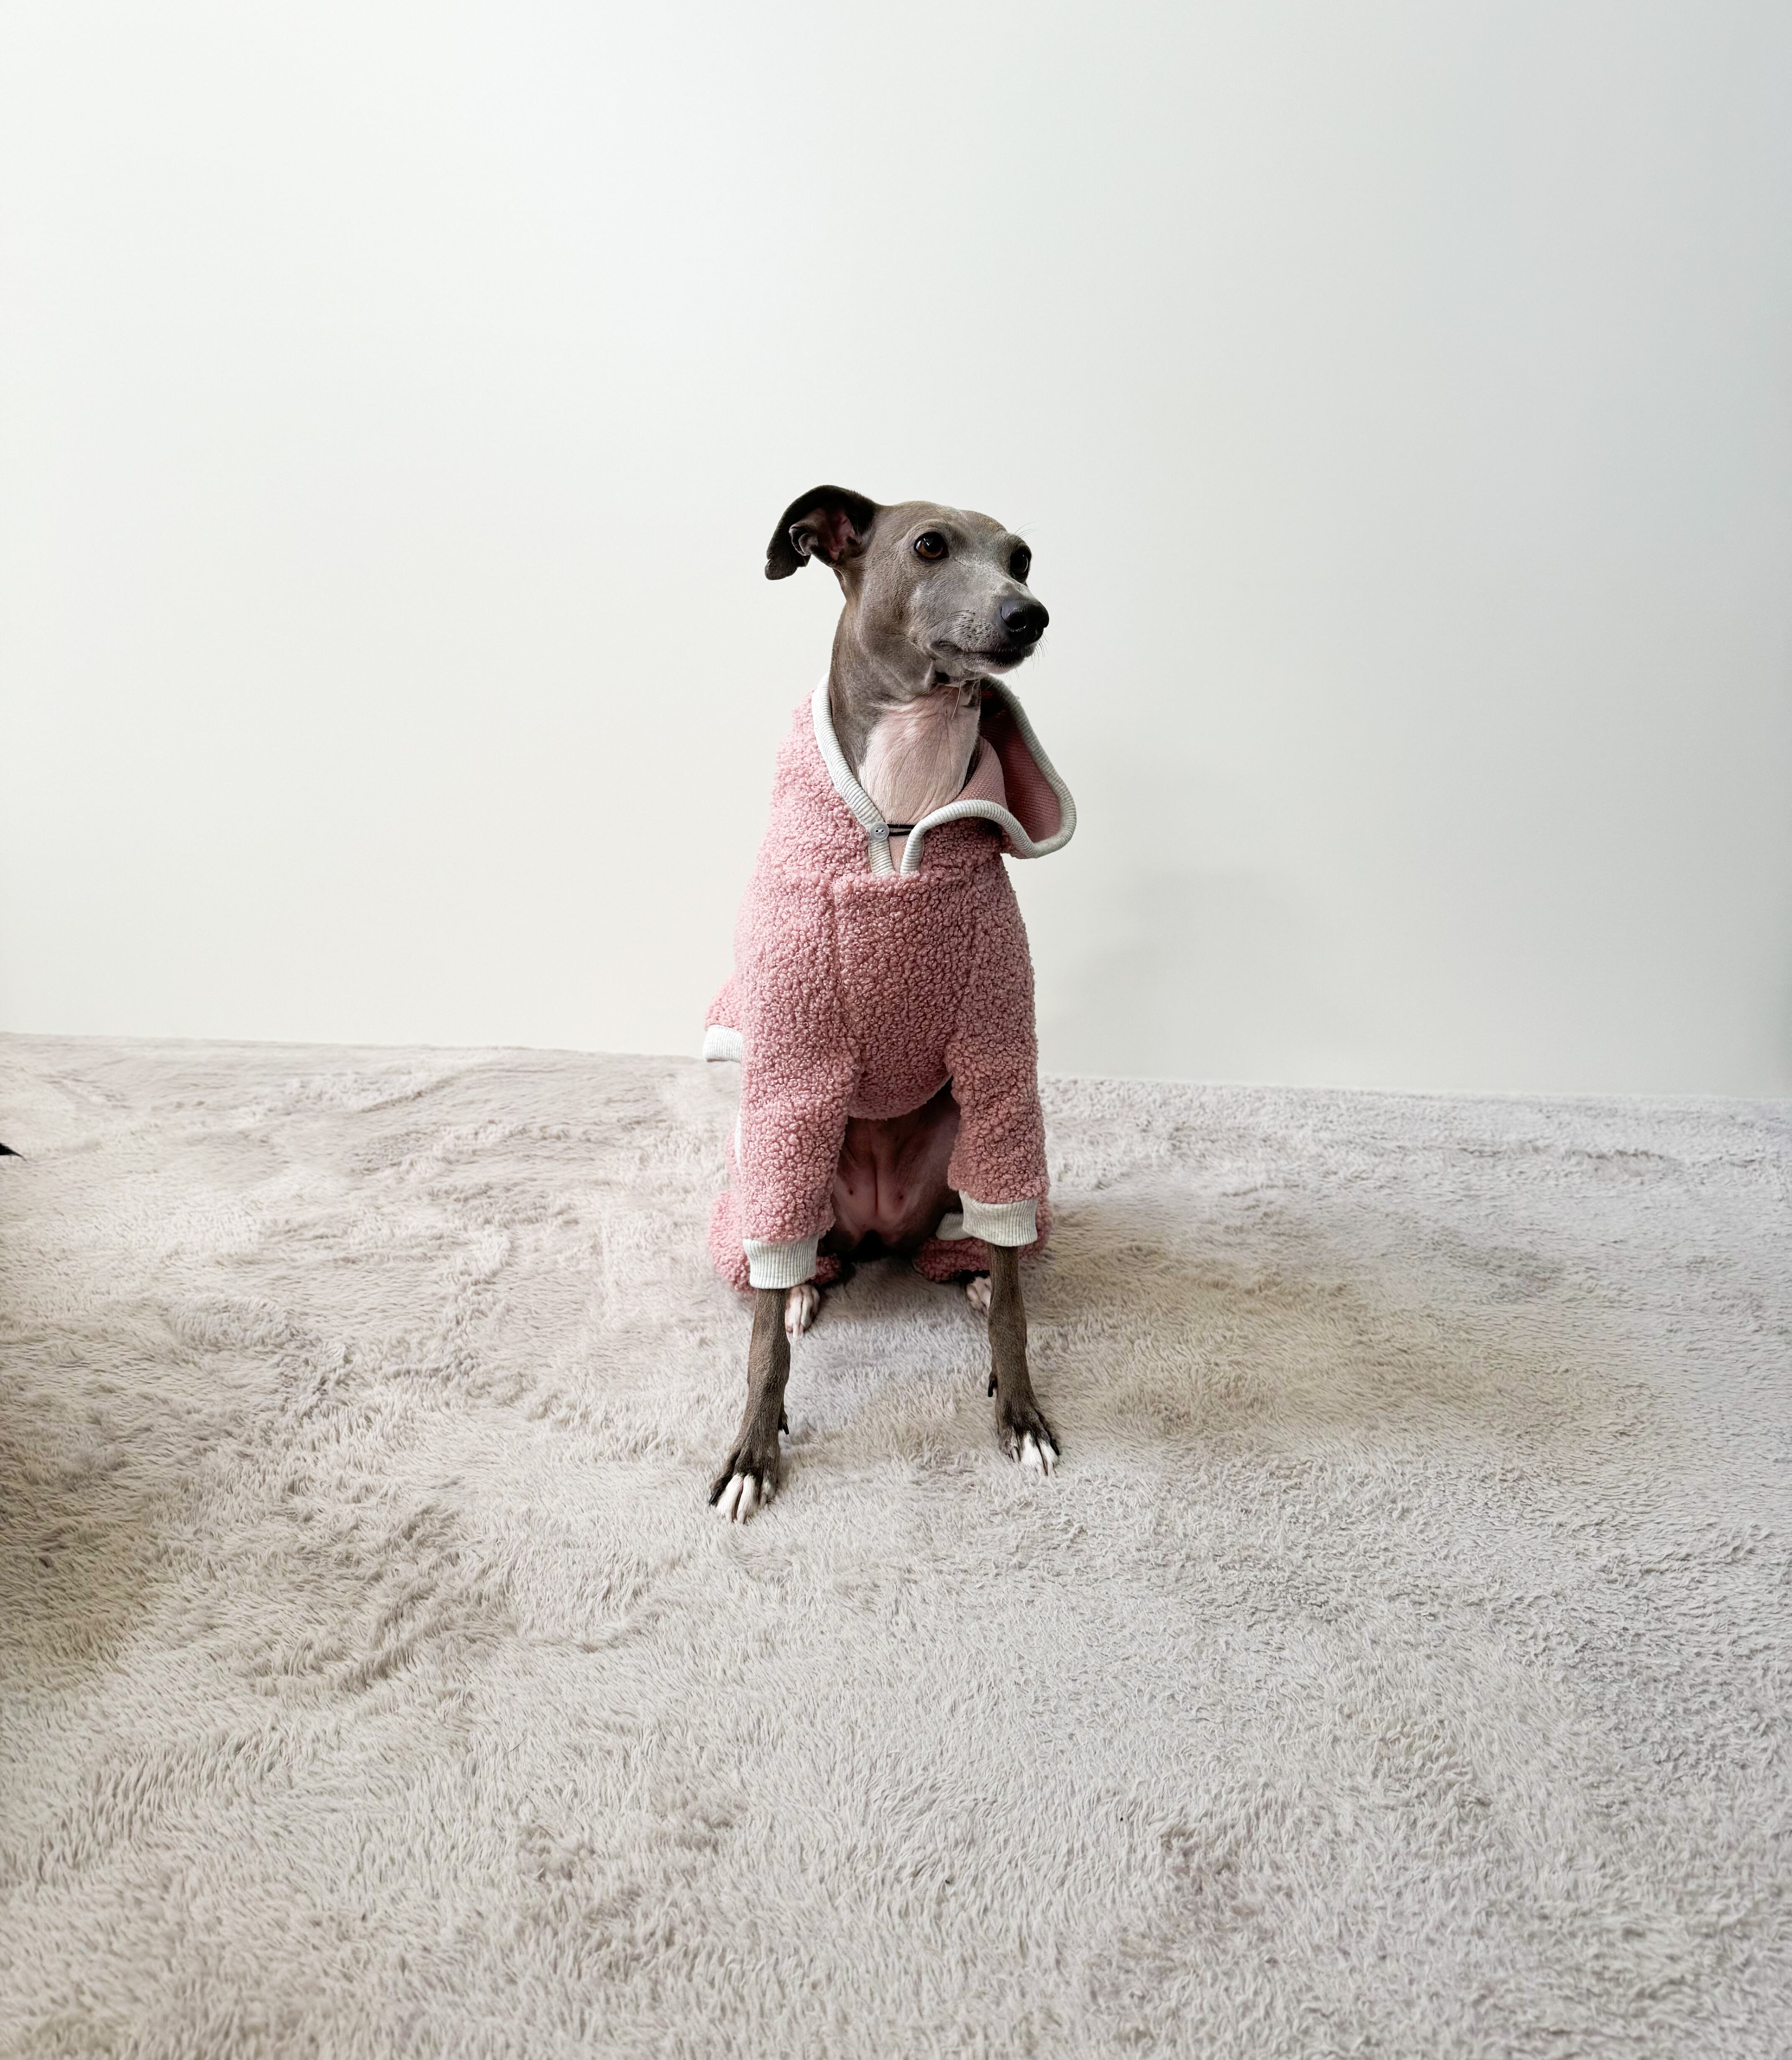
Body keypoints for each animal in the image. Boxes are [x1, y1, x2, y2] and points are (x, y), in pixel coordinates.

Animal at [704, 486, 1076, 1520]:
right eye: (930, 545)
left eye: (1022, 557)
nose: (1029, 616)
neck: (902, 815)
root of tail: (877, 1229)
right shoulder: (794, 1066)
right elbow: (762, 1343)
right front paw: (752, 1451)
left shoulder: (996, 1055)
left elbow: (1016, 1303)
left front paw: (1021, 1410)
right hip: (792, 1160)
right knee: (796, 1251)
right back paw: (801, 1285)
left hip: (958, 1145)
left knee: (971, 1236)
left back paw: (970, 1268)